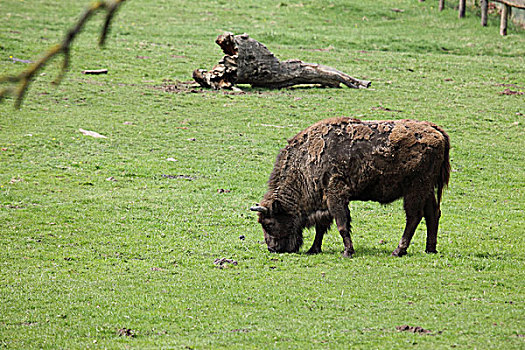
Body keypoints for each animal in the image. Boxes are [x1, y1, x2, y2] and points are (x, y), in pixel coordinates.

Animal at [251, 117, 450, 258]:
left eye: (269, 223)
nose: (273, 248)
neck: (305, 163)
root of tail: (436, 131)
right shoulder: (326, 202)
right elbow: (322, 227)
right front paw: (313, 249)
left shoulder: (336, 196)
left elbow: (341, 224)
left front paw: (347, 252)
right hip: (427, 190)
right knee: (432, 214)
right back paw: (430, 249)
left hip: (415, 189)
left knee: (414, 217)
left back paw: (398, 250)